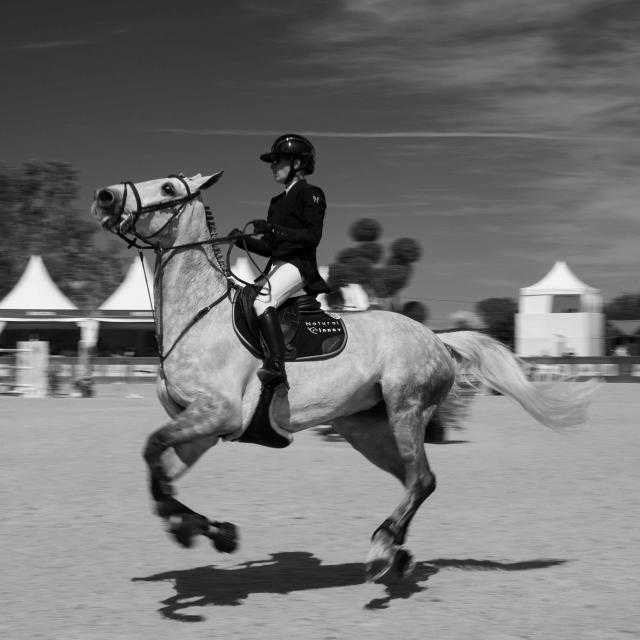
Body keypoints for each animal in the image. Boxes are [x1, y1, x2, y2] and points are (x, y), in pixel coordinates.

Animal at [90, 172, 596, 584]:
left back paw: (382, 549)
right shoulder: (202, 428)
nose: (104, 196)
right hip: (364, 428)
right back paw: (397, 553)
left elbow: (152, 453)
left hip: (406, 408)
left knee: (422, 479)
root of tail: (435, 337)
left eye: (168, 187)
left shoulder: (216, 413)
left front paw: (195, 529)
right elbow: (163, 473)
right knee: (413, 479)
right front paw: (208, 531)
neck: (200, 315)